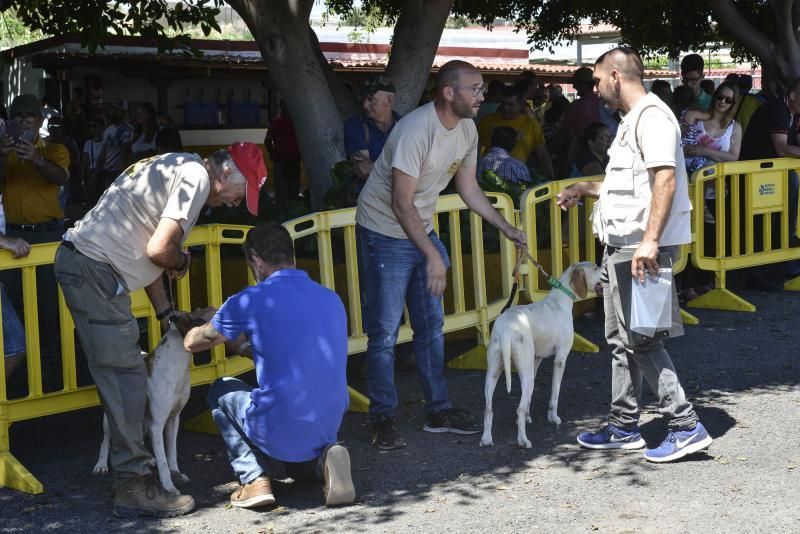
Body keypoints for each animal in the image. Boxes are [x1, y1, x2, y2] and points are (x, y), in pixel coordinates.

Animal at [93, 312, 206, 496]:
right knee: (106, 440)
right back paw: (101, 465)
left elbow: (171, 453)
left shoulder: (173, 419)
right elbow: (163, 461)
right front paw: (169, 486)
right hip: (110, 421)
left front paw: (176, 475)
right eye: (197, 320)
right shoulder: (157, 424)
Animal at [482, 262, 600, 450]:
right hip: (524, 374)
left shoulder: (536, 361)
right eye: (596, 267)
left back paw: (486, 439)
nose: (605, 268)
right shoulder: (560, 360)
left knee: (488, 409)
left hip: (495, 373)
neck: (560, 300)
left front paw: (529, 417)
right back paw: (523, 441)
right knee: (519, 409)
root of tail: (507, 330)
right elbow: (554, 394)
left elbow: (529, 399)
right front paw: (553, 418)